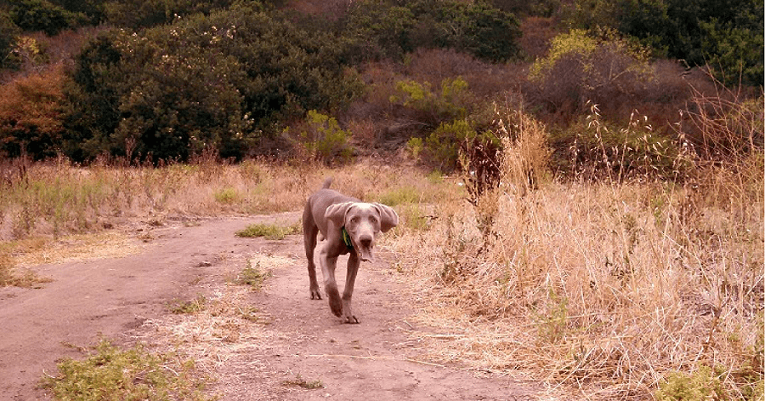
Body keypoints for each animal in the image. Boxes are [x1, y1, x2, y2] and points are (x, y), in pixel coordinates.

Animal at [302, 177, 400, 322]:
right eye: (353, 220)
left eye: (374, 220)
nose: (365, 239)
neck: (347, 237)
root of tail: (321, 190)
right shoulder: (325, 254)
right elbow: (330, 282)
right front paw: (336, 307)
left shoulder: (355, 259)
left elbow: (348, 288)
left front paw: (348, 313)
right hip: (309, 237)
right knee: (311, 264)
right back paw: (315, 290)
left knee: (332, 267)